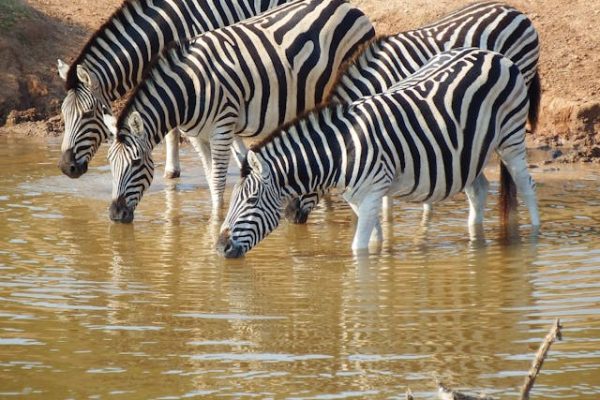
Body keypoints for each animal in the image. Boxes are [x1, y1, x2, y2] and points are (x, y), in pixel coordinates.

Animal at [56, 0, 290, 178]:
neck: (167, 29)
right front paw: (172, 171)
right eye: (63, 114)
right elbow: (172, 128)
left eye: (88, 114)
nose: (66, 168)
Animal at [105, 0, 372, 222]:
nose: (115, 214)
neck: (189, 89)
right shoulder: (197, 136)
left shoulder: (222, 128)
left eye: (136, 162)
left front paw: (215, 222)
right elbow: (210, 177)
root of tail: (347, 5)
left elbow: (217, 181)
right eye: (110, 163)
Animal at [216, 48, 540, 258]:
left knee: (526, 186)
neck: (340, 150)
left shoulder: (372, 193)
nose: (220, 247)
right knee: (479, 189)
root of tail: (494, 55)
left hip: (511, 137)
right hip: (468, 152)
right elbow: (374, 241)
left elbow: (358, 249)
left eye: (252, 200)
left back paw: (535, 234)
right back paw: (475, 237)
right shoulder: (359, 199)